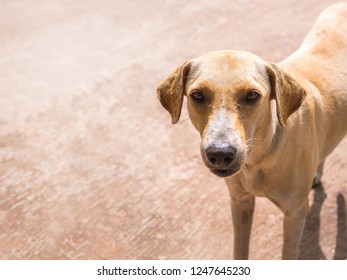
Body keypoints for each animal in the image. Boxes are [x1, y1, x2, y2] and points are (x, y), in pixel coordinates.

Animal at [158, 3, 347, 260]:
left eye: (252, 96)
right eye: (197, 95)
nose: (220, 153)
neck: (259, 157)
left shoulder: (295, 214)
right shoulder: (240, 203)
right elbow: (240, 249)